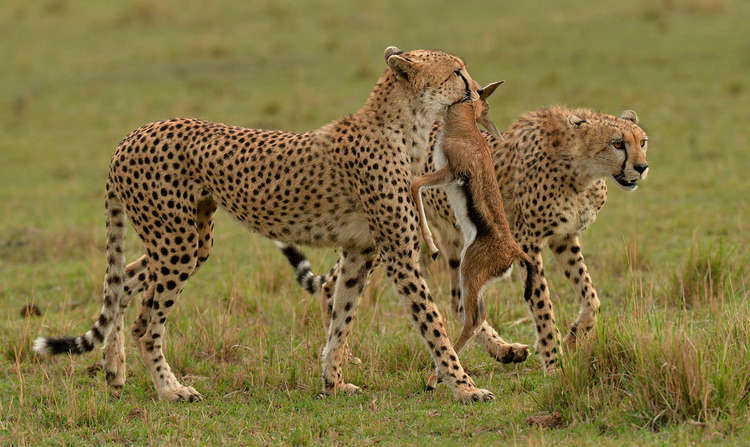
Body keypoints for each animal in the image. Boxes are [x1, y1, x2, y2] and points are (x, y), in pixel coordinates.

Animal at [33, 47, 500, 404]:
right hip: (177, 243)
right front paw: (465, 387)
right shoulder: (400, 255)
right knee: (146, 322)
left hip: (188, 240)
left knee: (124, 280)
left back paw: (114, 369)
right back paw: (170, 390)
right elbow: (434, 325)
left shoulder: (359, 252)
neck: (407, 125)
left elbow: (342, 318)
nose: (478, 89)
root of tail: (132, 135)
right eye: (456, 71)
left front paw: (333, 381)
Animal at [278, 107, 652, 372]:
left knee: (459, 304)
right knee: (334, 285)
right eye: (617, 143)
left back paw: (504, 351)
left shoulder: (564, 236)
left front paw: (576, 335)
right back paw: (342, 356)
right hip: (399, 232)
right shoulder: (528, 242)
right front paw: (553, 359)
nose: (642, 167)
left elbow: (591, 297)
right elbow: (543, 304)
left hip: (457, 241)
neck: (582, 172)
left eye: (642, 141)